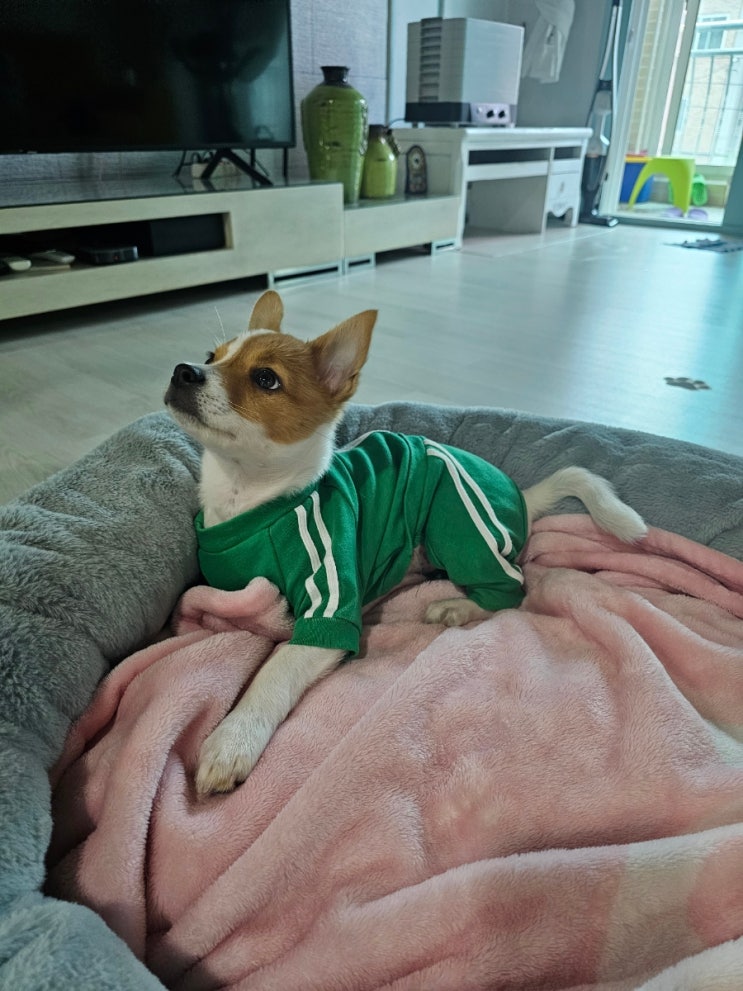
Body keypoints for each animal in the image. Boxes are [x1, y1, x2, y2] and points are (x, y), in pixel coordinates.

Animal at [165, 289, 647, 796]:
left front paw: (232, 740)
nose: (183, 370)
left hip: (454, 519)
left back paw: (458, 608)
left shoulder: (330, 605)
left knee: (512, 591)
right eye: (211, 357)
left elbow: (274, 670)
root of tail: (521, 494)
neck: (248, 498)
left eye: (265, 379)